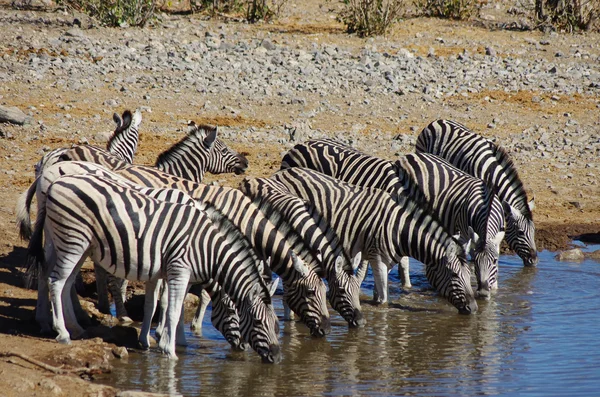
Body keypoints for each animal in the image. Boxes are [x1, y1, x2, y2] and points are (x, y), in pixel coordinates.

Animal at [37, 173, 282, 362]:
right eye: (257, 321)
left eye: (277, 323)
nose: (277, 357)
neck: (206, 247)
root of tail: (56, 182)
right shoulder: (179, 270)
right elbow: (173, 309)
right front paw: (169, 350)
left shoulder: (157, 271)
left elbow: (152, 305)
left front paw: (146, 341)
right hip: (73, 240)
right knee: (56, 282)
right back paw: (62, 333)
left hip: (76, 244)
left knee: (64, 282)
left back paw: (74, 328)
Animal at [239, 178, 366, 326]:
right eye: (341, 291)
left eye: (358, 289)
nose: (361, 322)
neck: (306, 229)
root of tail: (254, 178)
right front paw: (290, 320)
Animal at [268, 166, 478, 312]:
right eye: (454, 275)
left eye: (470, 274)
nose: (475, 309)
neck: (398, 229)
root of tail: (280, 173)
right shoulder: (376, 256)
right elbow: (384, 299)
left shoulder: (385, 260)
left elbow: (379, 292)